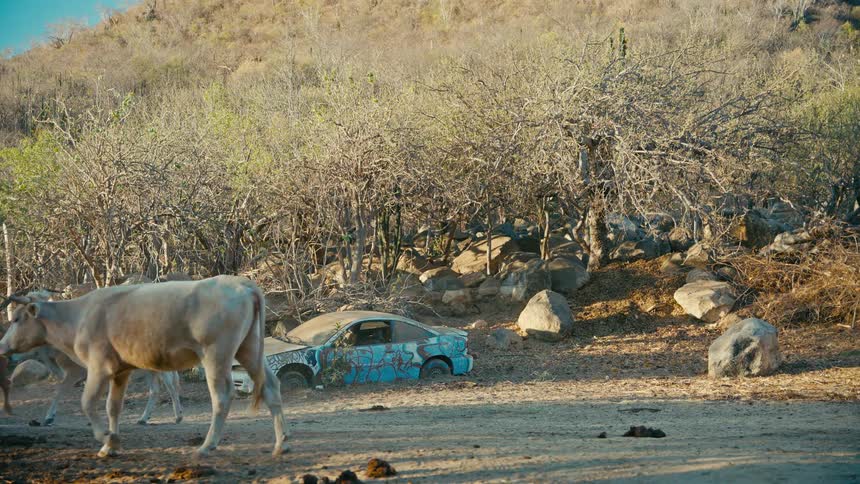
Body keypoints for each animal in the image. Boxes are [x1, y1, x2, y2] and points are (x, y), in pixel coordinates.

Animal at [0, 275, 288, 458]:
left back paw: (207, 445)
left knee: (222, 396)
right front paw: (110, 446)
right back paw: (281, 444)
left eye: (15, 319)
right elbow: (112, 407)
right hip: (249, 349)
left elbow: (86, 402)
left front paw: (107, 438)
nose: (2, 345)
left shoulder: (98, 367)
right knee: (272, 386)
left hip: (216, 354)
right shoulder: (121, 371)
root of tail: (242, 283)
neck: (77, 317)